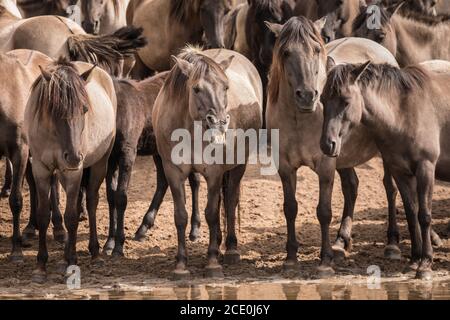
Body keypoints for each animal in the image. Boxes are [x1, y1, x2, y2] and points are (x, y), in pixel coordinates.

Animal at [24, 58, 117, 282]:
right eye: (55, 110)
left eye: (84, 110)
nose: (75, 156)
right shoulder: (41, 168)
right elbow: (43, 215)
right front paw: (41, 265)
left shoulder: (74, 172)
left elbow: (72, 217)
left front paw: (72, 261)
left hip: (99, 164)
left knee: (91, 202)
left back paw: (94, 253)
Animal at [103, 72, 201, 255]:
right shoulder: (110, 159)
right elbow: (111, 196)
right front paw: (109, 243)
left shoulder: (128, 153)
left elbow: (121, 197)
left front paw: (119, 245)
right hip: (159, 151)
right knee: (163, 182)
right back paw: (143, 228)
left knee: (195, 181)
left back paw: (195, 229)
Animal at [153, 46, 262, 278]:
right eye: (196, 89)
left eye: (226, 87)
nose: (220, 122)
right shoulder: (173, 172)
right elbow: (181, 216)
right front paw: (181, 264)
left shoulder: (214, 172)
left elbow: (211, 213)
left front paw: (212, 262)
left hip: (239, 165)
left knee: (230, 201)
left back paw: (230, 249)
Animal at [320, 60, 450, 280]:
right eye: (322, 99)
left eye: (346, 101)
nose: (327, 144)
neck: (404, 113)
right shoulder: (400, 171)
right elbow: (411, 213)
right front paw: (414, 260)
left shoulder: (425, 168)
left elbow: (424, 216)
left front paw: (425, 264)